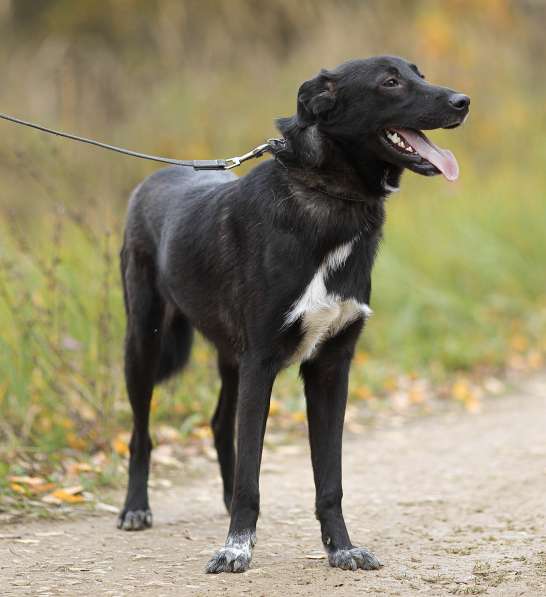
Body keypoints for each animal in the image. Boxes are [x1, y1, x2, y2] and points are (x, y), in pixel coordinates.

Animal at [118, 57, 468, 572]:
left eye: (418, 74)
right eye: (390, 82)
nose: (463, 101)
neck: (331, 198)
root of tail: (154, 178)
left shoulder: (329, 367)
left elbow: (329, 479)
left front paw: (341, 547)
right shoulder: (262, 361)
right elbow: (252, 474)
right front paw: (236, 547)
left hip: (230, 356)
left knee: (221, 424)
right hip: (145, 341)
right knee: (142, 433)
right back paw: (135, 508)